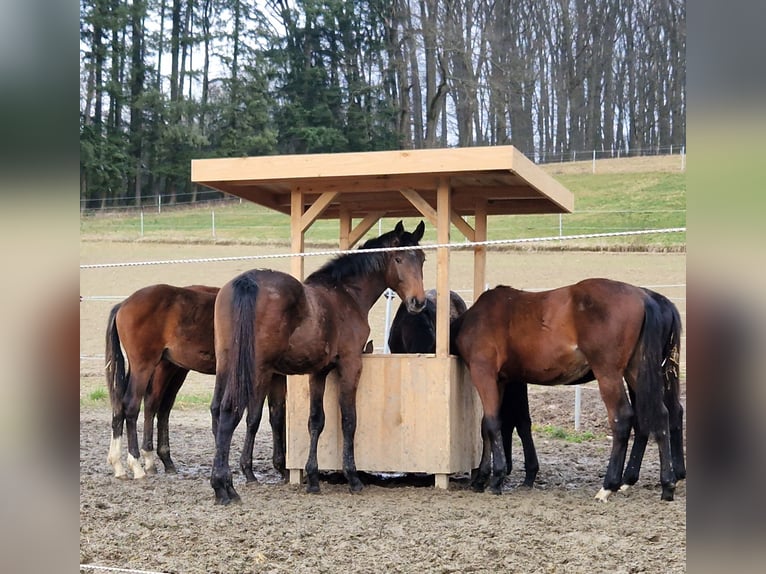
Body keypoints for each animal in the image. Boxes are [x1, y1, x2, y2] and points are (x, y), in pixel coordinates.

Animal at [105, 286, 288, 484]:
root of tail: (123, 304)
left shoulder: (278, 375)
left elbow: (277, 416)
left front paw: (283, 467)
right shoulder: (261, 374)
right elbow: (255, 418)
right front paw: (250, 470)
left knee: (128, 407)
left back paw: (122, 464)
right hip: (145, 367)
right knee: (132, 406)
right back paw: (137, 466)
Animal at [212, 220, 426, 504]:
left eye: (422, 258)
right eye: (399, 258)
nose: (418, 302)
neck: (347, 294)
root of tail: (246, 282)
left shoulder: (319, 372)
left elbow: (316, 420)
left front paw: (313, 479)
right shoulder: (350, 364)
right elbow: (348, 419)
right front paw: (353, 477)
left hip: (227, 364)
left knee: (219, 411)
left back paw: (224, 484)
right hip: (255, 369)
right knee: (231, 412)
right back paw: (224, 487)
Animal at [452, 280, 680, 504]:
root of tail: (643, 298)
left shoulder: (484, 373)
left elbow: (492, 424)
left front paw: (496, 478)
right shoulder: (499, 381)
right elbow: (486, 426)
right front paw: (481, 477)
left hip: (609, 374)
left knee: (622, 419)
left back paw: (609, 486)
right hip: (636, 372)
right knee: (661, 415)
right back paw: (667, 484)